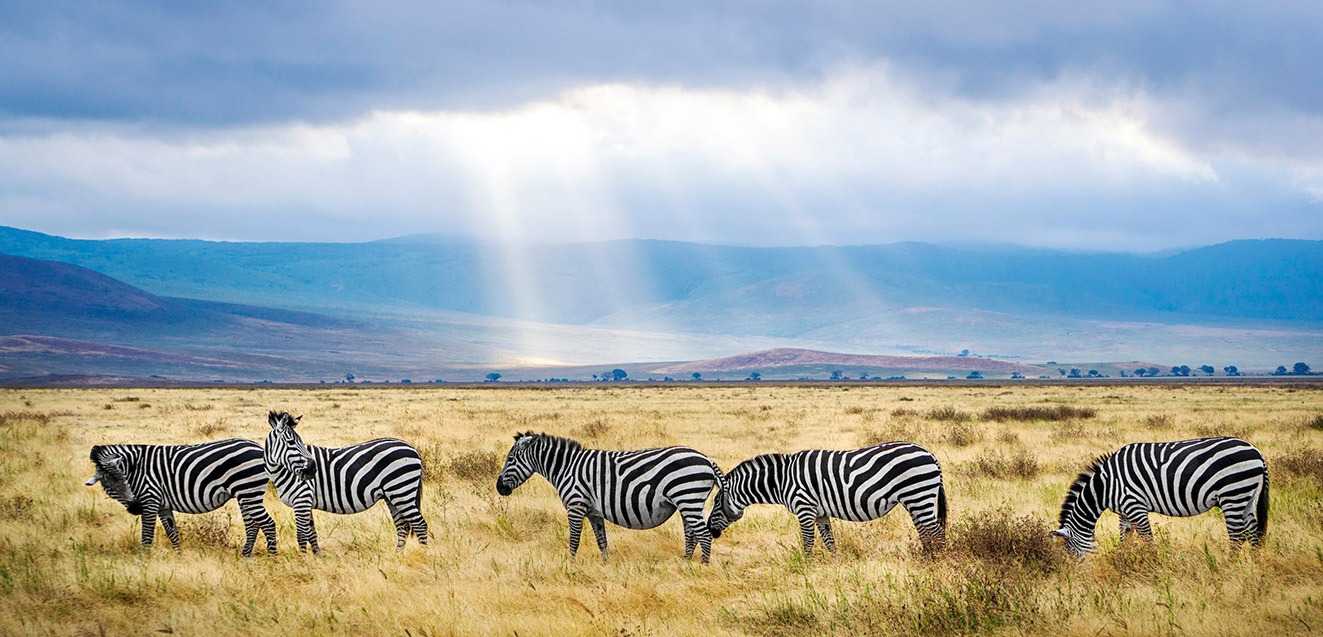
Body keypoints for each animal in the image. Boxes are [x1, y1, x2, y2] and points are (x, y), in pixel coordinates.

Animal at [84, 437, 276, 556]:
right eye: (109, 487)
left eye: (124, 480)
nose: (135, 507)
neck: (136, 468)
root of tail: (259, 447)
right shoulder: (162, 505)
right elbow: (172, 532)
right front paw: (179, 557)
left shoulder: (150, 499)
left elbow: (147, 536)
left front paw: (142, 562)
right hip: (245, 495)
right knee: (252, 525)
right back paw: (246, 556)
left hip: (248, 491)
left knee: (268, 524)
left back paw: (271, 558)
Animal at [265, 413, 431, 550]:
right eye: (291, 442)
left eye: (299, 442)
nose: (312, 469)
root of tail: (413, 448)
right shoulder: (306, 502)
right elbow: (311, 534)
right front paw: (318, 558)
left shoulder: (302, 499)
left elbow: (301, 535)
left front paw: (304, 560)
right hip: (393, 495)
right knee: (403, 526)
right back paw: (398, 556)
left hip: (401, 491)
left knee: (420, 524)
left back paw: (423, 554)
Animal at [497, 431, 725, 561]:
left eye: (510, 459)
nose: (499, 488)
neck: (566, 467)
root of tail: (706, 459)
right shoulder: (594, 512)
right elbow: (602, 540)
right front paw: (605, 566)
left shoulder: (576, 505)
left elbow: (574, 539)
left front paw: (570, 565)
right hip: (687, 502)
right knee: (691, 534)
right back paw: (685, 562)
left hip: (688, 497)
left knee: (703, 535)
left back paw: (702, 567)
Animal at [709, 439, 947, 553]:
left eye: (716, 502)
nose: (711, 530)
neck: (781, 480)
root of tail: (930, 454)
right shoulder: (820, 513)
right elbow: (829, 541)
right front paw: (835, 566)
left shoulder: (804, 509)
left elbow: (808, 542)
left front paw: (806, 568)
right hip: (914, 500)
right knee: (925, 531)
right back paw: (926, 558)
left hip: (918, 494)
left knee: (936, 531)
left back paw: (938, 561)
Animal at [1053, 437, 1270, 556]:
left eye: (1071, 551)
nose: (1076, 574)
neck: (1105, 486)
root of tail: (1256, 452)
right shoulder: (1124, 512)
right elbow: (1125, 537)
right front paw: (1123, 560)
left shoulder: (1135, 505)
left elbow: (1147, 539)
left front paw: (1154, 564)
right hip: (1247, 497)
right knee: (1252, 532)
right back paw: (1255, 567)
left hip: (1232, 494)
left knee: (1237, 536)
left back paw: (1228, 568)